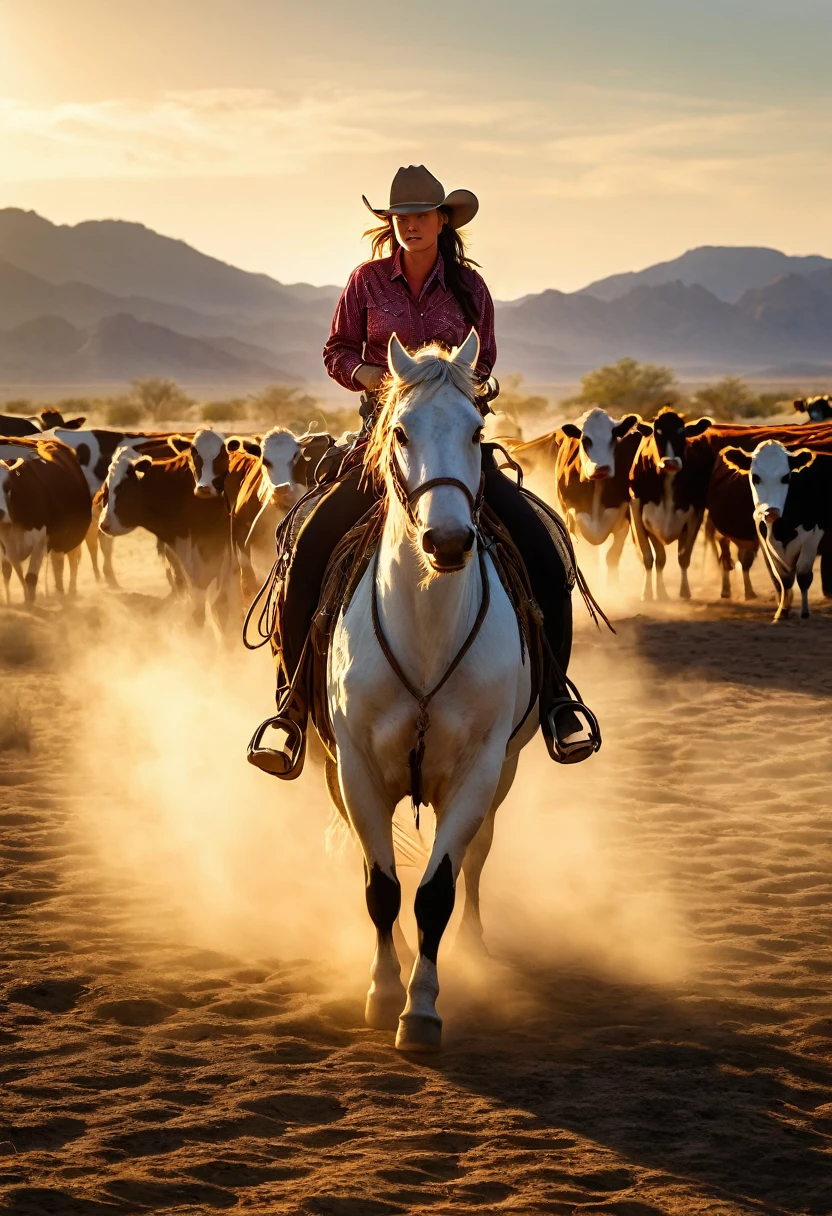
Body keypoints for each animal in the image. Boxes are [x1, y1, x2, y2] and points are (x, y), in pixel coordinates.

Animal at [0, 440, 92, 605]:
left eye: (8, 486)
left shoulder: (40, 541)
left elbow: (30, 577)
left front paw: (30, 604)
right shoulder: (4, 545)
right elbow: (8, 571)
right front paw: (11, 602)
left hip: (68, 537)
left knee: (68, 561)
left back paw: (67, 593)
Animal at [321, 328, 535, 1050]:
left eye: (476, 430)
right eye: (402, 431)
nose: (446, 540)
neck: (427, 633)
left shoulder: (479, 769)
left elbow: (436, 891)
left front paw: (422, 1008)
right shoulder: (356, 768)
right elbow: (381, 887)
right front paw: (386, 990)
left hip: (506, 770)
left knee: (477, 857)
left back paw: (472, 946)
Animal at [554, 408, 647, 578]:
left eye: (614, 437)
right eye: (585, 440)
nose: (601, 468)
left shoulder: (621, 511)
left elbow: (612, 554)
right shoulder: (572, 507)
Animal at [627, 408, 710, 598]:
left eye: (683, 433)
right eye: (657, 433)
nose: (671, 462)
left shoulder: (696, 510)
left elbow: (684, 557)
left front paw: (684, 591)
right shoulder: (638, 510)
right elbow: (650, 557)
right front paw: (648, 593)